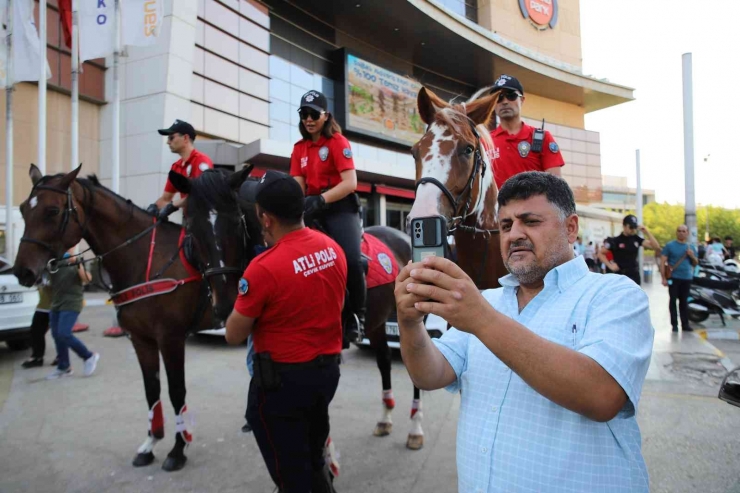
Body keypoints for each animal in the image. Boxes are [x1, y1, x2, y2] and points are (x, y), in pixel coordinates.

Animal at [11, 163, 251, 470]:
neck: (143, 261)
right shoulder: (141, 339)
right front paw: (150, 443)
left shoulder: (170, 338)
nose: (22, 271)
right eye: (22, 210)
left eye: (52, 210)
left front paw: (178, 449)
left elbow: (176, 391)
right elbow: (151, 390)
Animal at [168, 169, 430, 450]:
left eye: (237, 223)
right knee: (383, 361)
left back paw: (415, 428)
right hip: (378, 322)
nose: (226, 305)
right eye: (191, 229)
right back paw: (385, 418)